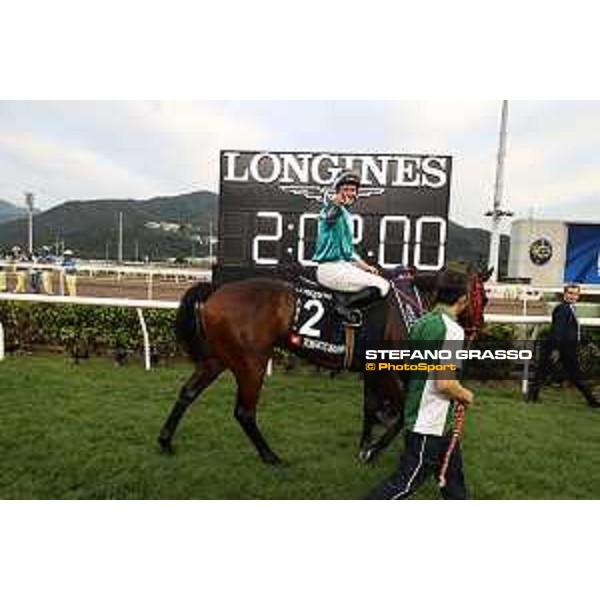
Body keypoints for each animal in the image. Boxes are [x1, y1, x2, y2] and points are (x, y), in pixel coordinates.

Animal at [159, 268, 492, 464]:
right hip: (251, 362)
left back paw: (165, 442)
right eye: (485, 298)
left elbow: (371, 408)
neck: (408, 307)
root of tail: (217, 289)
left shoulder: (372, 370)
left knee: (188, 393)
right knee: (244, 411)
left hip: (218, 358)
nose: (477, 332)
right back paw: (271, 456)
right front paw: (372, 450)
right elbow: (399, 416)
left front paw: (364, 445)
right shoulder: (387, 370)